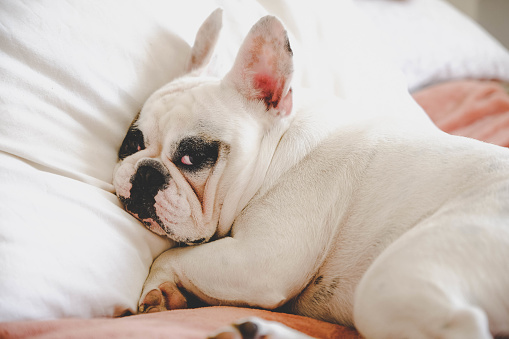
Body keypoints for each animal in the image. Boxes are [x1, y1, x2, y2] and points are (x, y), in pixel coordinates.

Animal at [113, 9, 508, 338]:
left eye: (192, 157)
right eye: (131, 144)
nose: (146, 173)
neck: (276, 151)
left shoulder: (260, 260)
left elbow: (170, 257)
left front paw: (156, 287)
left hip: (395, 279)